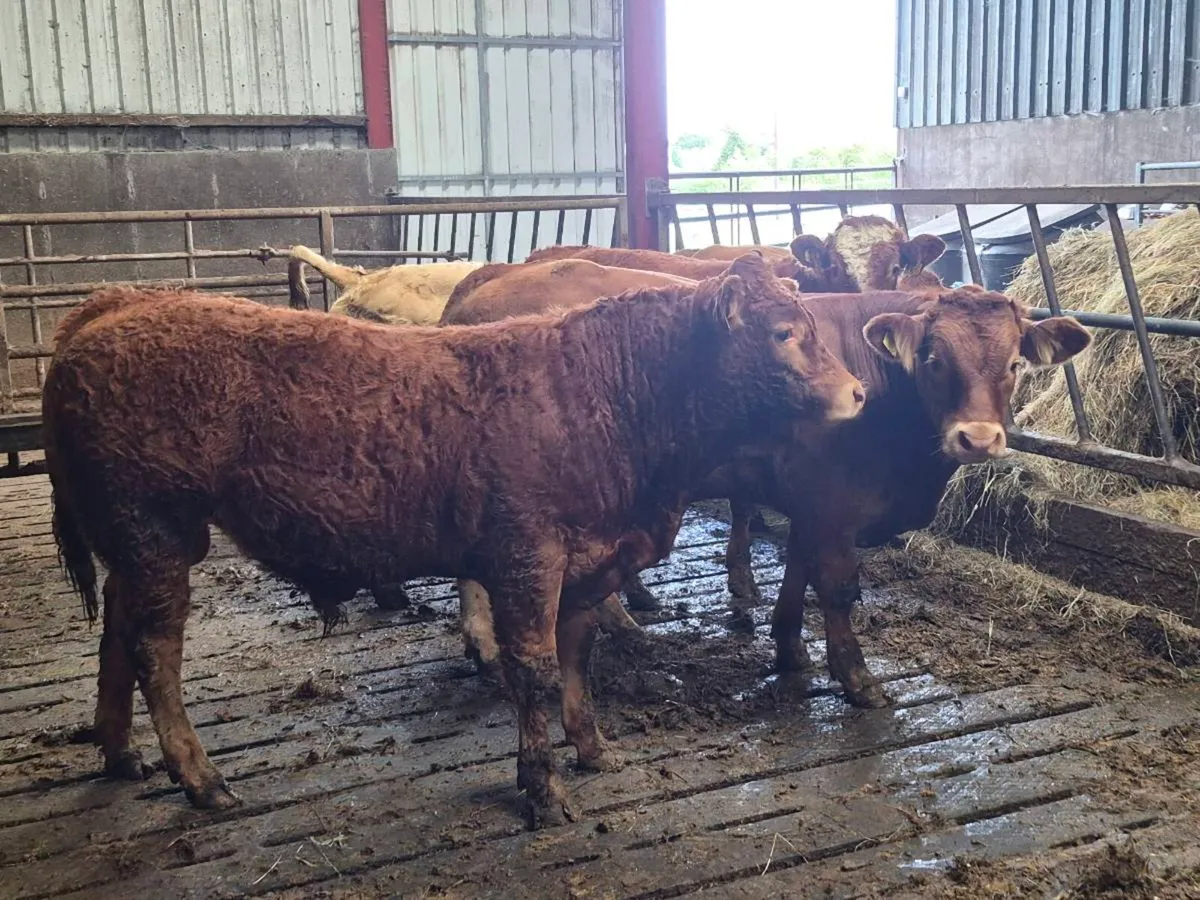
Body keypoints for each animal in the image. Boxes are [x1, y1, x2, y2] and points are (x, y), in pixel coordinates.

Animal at [44, 255, 865, 829]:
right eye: (785, 334)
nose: (859, 392)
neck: (608, 393)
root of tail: (121, 302)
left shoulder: (585, 560)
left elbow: (577, 656)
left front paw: (594, 749)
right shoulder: (528, 558)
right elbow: (533, 669)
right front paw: (542, 789)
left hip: (133, 542)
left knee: (116, 630)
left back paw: (121, 753)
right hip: (156, 530)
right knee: (154, 650)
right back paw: (200, 778)